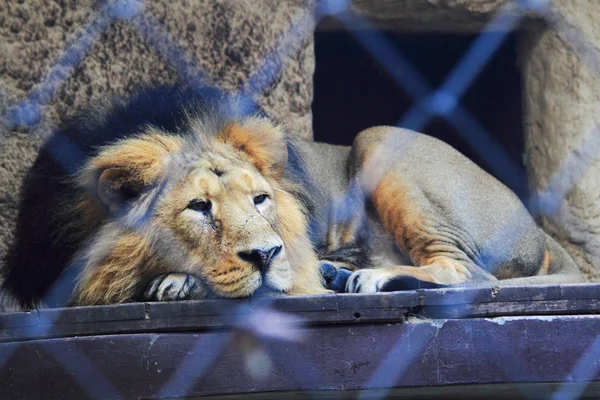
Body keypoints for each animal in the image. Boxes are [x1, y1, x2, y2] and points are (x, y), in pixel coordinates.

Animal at [0, 84, 580, 310]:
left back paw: (367, 278)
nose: (267, 254)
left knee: (468, 272)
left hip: (379, 137)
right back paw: (341, 273)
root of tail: (539, 229)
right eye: (199, 207)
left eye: (261, 200)